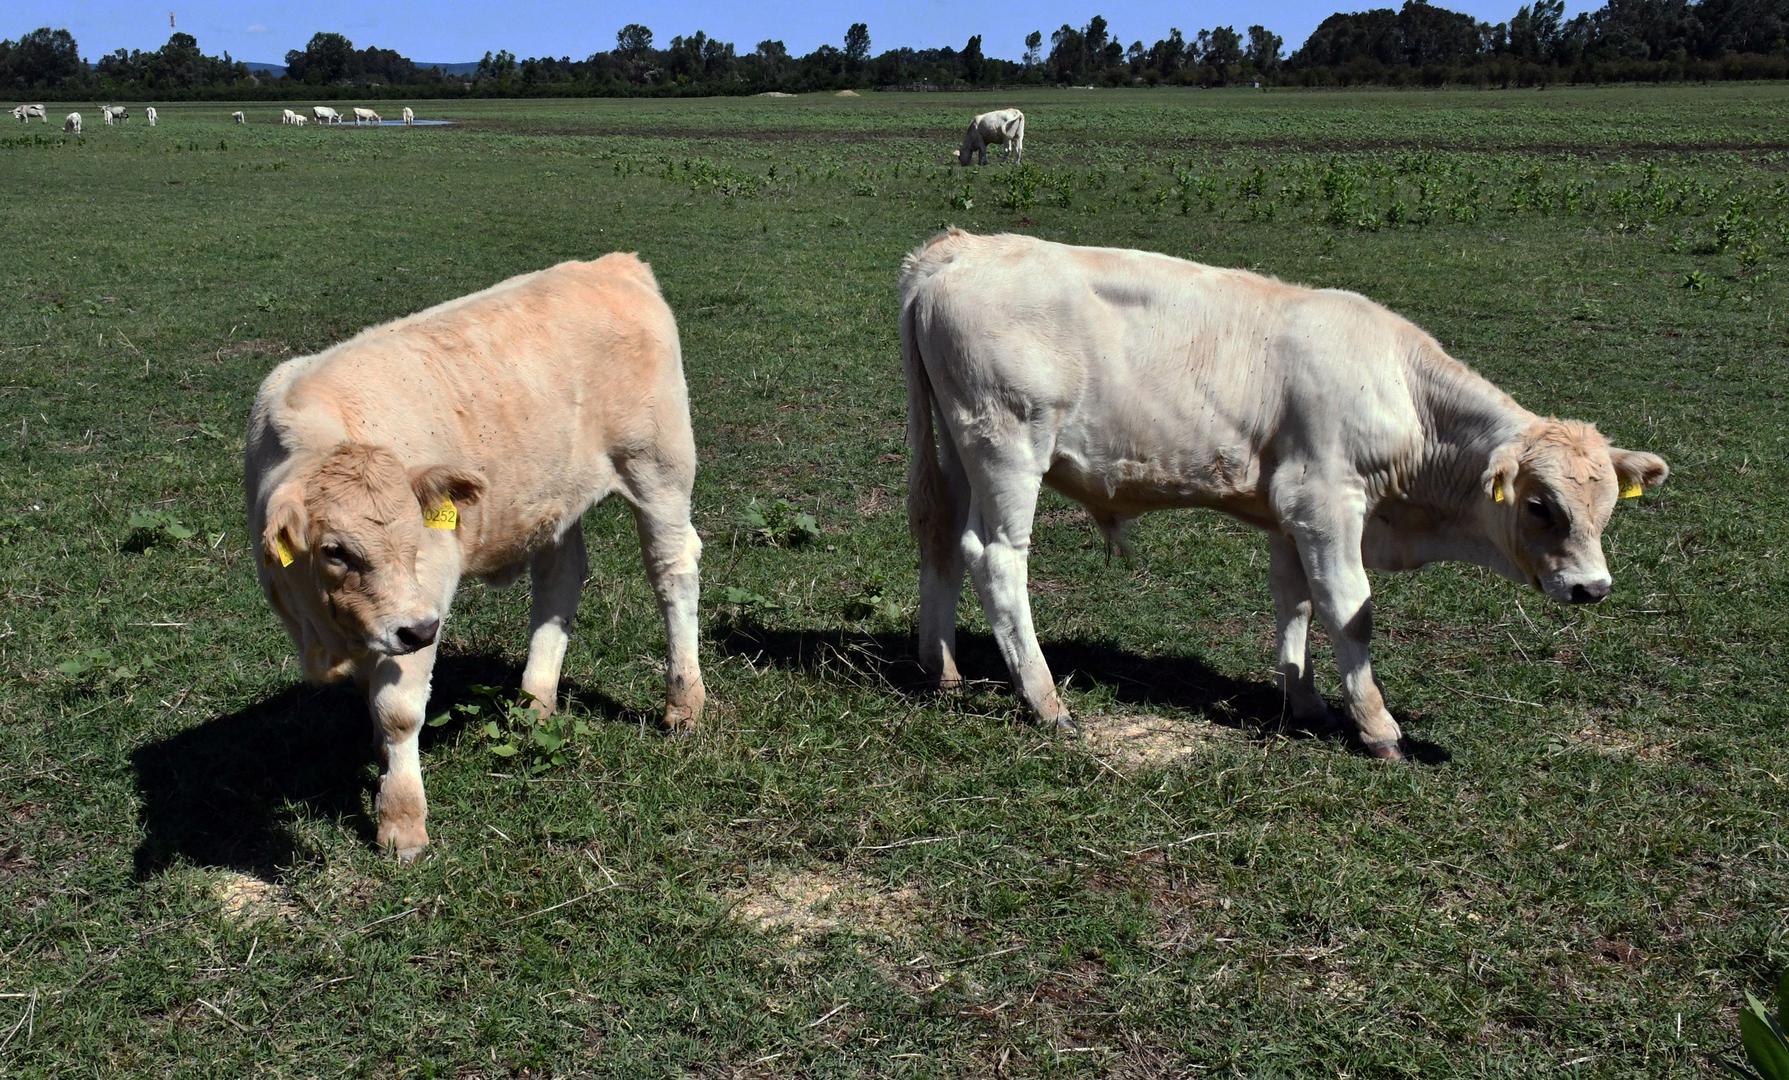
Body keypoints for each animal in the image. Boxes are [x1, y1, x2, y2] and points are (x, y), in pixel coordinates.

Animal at [248, 255, 708, 861]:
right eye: (335, 550)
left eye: (417, 536)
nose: (419, 629)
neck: (324, 628)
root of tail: (613, 265)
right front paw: (383, 766)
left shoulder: (426, 597)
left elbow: (398, 709)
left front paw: (402, 822)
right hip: (554, 490)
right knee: (560, 578)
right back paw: (535, 701)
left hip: (660, 469)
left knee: (672, 572)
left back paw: (684, 703)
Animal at [901, 230, 1667, 758]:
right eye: (1540, 505)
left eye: (1605, 509)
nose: (1592, 588)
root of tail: (956, 249)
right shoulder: (1324, 504)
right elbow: (1349, 611)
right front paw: (1376, 726)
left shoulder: (1286, 517)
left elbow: (1294, 601)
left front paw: (1305, 700)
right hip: (1008, 449)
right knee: (996, 556)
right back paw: (1043, 698)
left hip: (958, 454)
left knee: (940, 538)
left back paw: (942, 670)